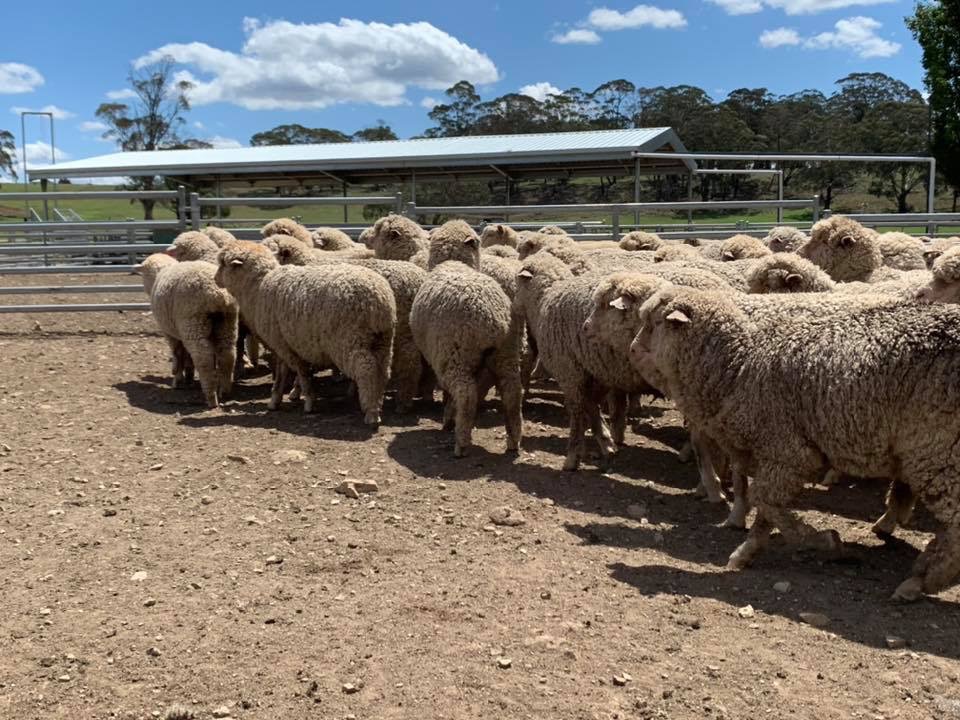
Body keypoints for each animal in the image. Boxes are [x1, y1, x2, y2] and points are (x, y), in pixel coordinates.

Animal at [137, 253, 238, 409]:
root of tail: (218, 294)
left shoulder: (170, 332)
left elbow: (178, 353)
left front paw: (178, 380)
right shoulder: (180, 330)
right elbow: (186, 355)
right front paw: (189, 376)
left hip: (193, 323)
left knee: (203, 358)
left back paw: (211, 397)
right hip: (227, 323)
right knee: (227, 354)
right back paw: (225, 392)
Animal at [214, 241, 396, 424]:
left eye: (223, 263)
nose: (215, 279)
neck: (258, 288)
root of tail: (379, 299)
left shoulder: (287, 346)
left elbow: (301, 372)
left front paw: (308, 401)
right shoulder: (283, 343)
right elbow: (282, 373)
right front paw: (275, 400)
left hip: (350, 339)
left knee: (367, 369)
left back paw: (371, 413)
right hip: (383, 339)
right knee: (383, 370)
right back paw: (376, 403)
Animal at [410, 260, 522, 457]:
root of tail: (494, 319)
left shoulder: (442, 359)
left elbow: (449, 394)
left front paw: (449, 418)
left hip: (456, 355)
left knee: (466, 395)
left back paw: (461, 443)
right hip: (506, 353)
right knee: (512, 392)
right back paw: (513, 440)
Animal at [631, 285, 960, 601]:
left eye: (653, 323)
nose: (632, 349)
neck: (738, 367)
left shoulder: (787, 451)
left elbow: (765, 500)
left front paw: (826, 542)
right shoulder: (773, 456)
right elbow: (765, 509)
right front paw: (747, 552)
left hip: (939, 453)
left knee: (955, 525)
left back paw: (921, 581)